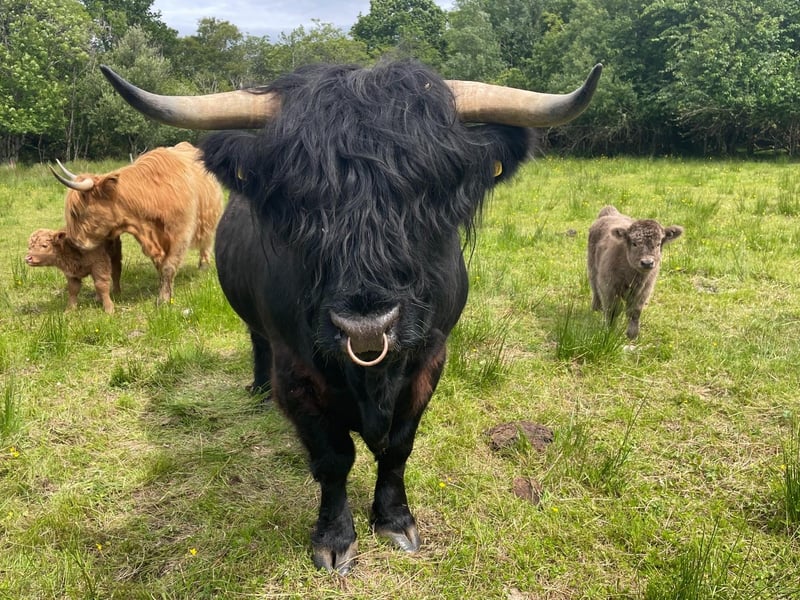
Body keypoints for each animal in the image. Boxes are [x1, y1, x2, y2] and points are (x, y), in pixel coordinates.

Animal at [49, 142, 224, 304]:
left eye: (75, 212)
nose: (72, 242)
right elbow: (159, 265)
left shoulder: (180, 234)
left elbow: (168, 266)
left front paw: (163, 299)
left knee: (206, 243)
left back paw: (203, 267)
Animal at [100, 59, 602, 574]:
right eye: (299, 202)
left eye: (428, 195)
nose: (366, 327)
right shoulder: (297, 373)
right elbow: (333, 458)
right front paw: (335, 539)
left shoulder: (429, 360)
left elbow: (398, 446)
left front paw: (395, 521)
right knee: (257, 342)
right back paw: (257, 390)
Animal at [587, 205, 684, 339]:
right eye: (634, 243)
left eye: (658, 244)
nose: (647, 263)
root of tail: (609, 213)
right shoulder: (609, 287)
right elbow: (612, 310)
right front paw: (609, 331)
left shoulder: (644, 291)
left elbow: (635, 311)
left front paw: (632, 334)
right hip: (592, 268)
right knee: (595, 288)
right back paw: (596, 308)